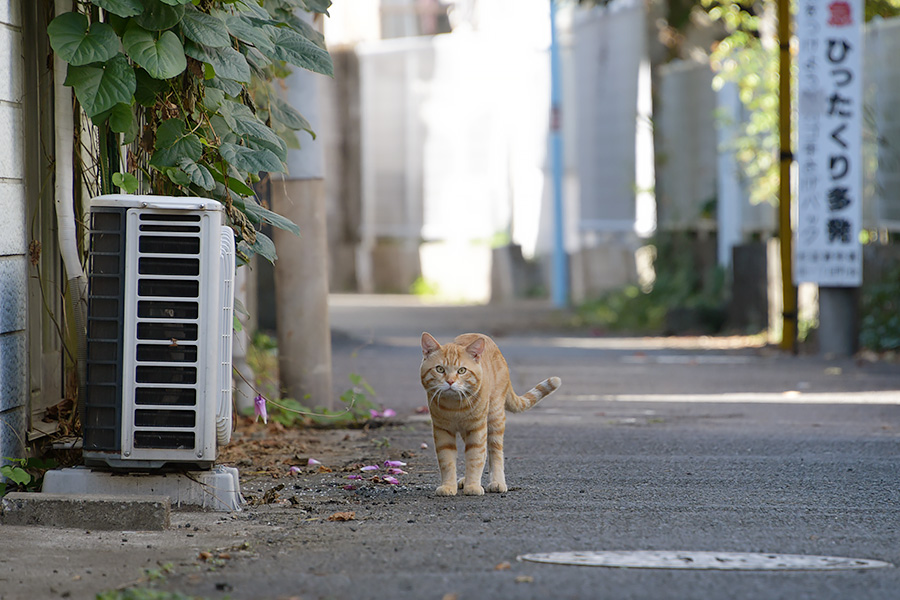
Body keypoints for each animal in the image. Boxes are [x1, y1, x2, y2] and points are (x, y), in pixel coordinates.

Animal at [418, 330, 560, 494]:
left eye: (462, 370)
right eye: (440, 369)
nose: (450, 381)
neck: (455, 406)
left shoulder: (477, 428)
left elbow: (475, 458)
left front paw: (473, 486)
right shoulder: (442, 430)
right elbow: (447, 460)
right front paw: (448, 486)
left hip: (494, 418)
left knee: (494, 453)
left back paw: (497, 482)